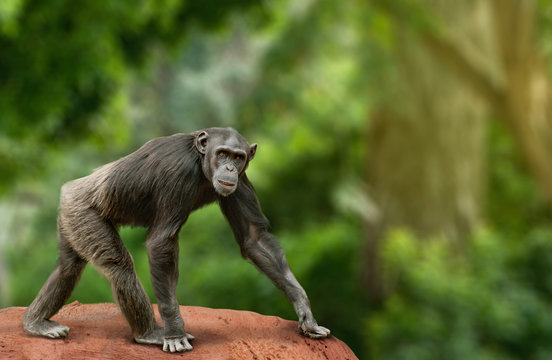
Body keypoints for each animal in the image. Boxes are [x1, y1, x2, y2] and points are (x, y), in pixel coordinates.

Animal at [23, 128, 330, 352]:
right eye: (222, 153)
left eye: (238, 157)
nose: (230, 168)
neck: (201, 162)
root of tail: (70, 187)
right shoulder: (177, 174)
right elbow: (161, 242)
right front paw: (174, 332)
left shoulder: (243, 181)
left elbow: (254, 238)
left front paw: (305, 310)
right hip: (82, 211)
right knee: (119, 267)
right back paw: (149, 333)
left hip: (71, 220)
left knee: (68, 267)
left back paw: (36, 322)